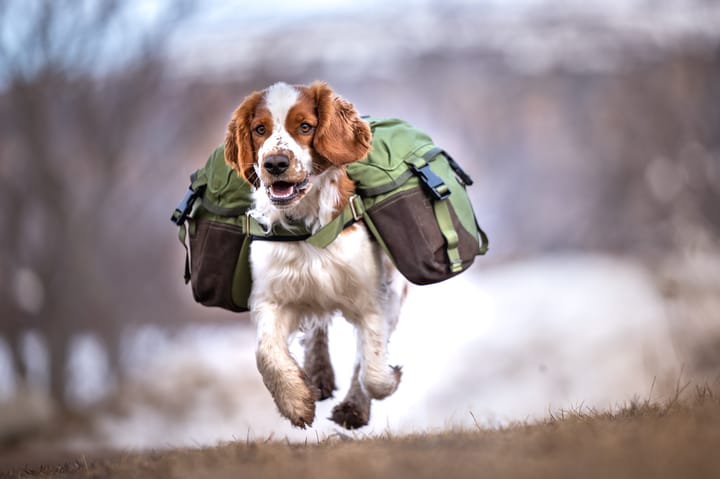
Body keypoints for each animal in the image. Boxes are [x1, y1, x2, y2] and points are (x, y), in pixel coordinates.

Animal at [222, 80, 408, 430]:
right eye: (260, 129)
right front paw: (296, 400)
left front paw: (381, 386)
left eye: (305, 126)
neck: (307, 224)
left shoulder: (374, 298)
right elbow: (265, 353)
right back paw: (317, 376)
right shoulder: (273, 296)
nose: (275, 164)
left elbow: (372, 369)